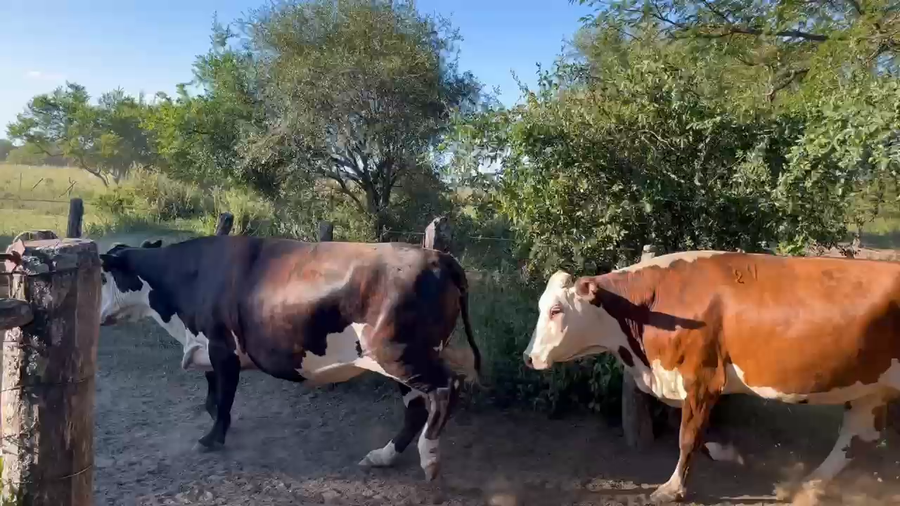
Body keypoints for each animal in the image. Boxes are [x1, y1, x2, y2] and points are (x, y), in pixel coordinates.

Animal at [98, 235, 481, 481]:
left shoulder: (222, 346)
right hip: (402, 358)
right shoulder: (206, 346)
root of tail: (438, 256)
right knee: (416, 408)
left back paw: (429, 456)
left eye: (102, 276)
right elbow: (213, 394)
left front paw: (211, 439)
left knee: (448, 386)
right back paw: (383, 457)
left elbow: (223, 397)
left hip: (399, 352)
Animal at [523, 250, 900, 505]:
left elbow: (687, 437)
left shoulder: (703, 377)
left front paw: (672, 489)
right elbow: (695, 432)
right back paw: (807, 486)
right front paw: (726, 452)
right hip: (872, 389)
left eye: (556, 310)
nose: (528, 357)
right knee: (856, 439)